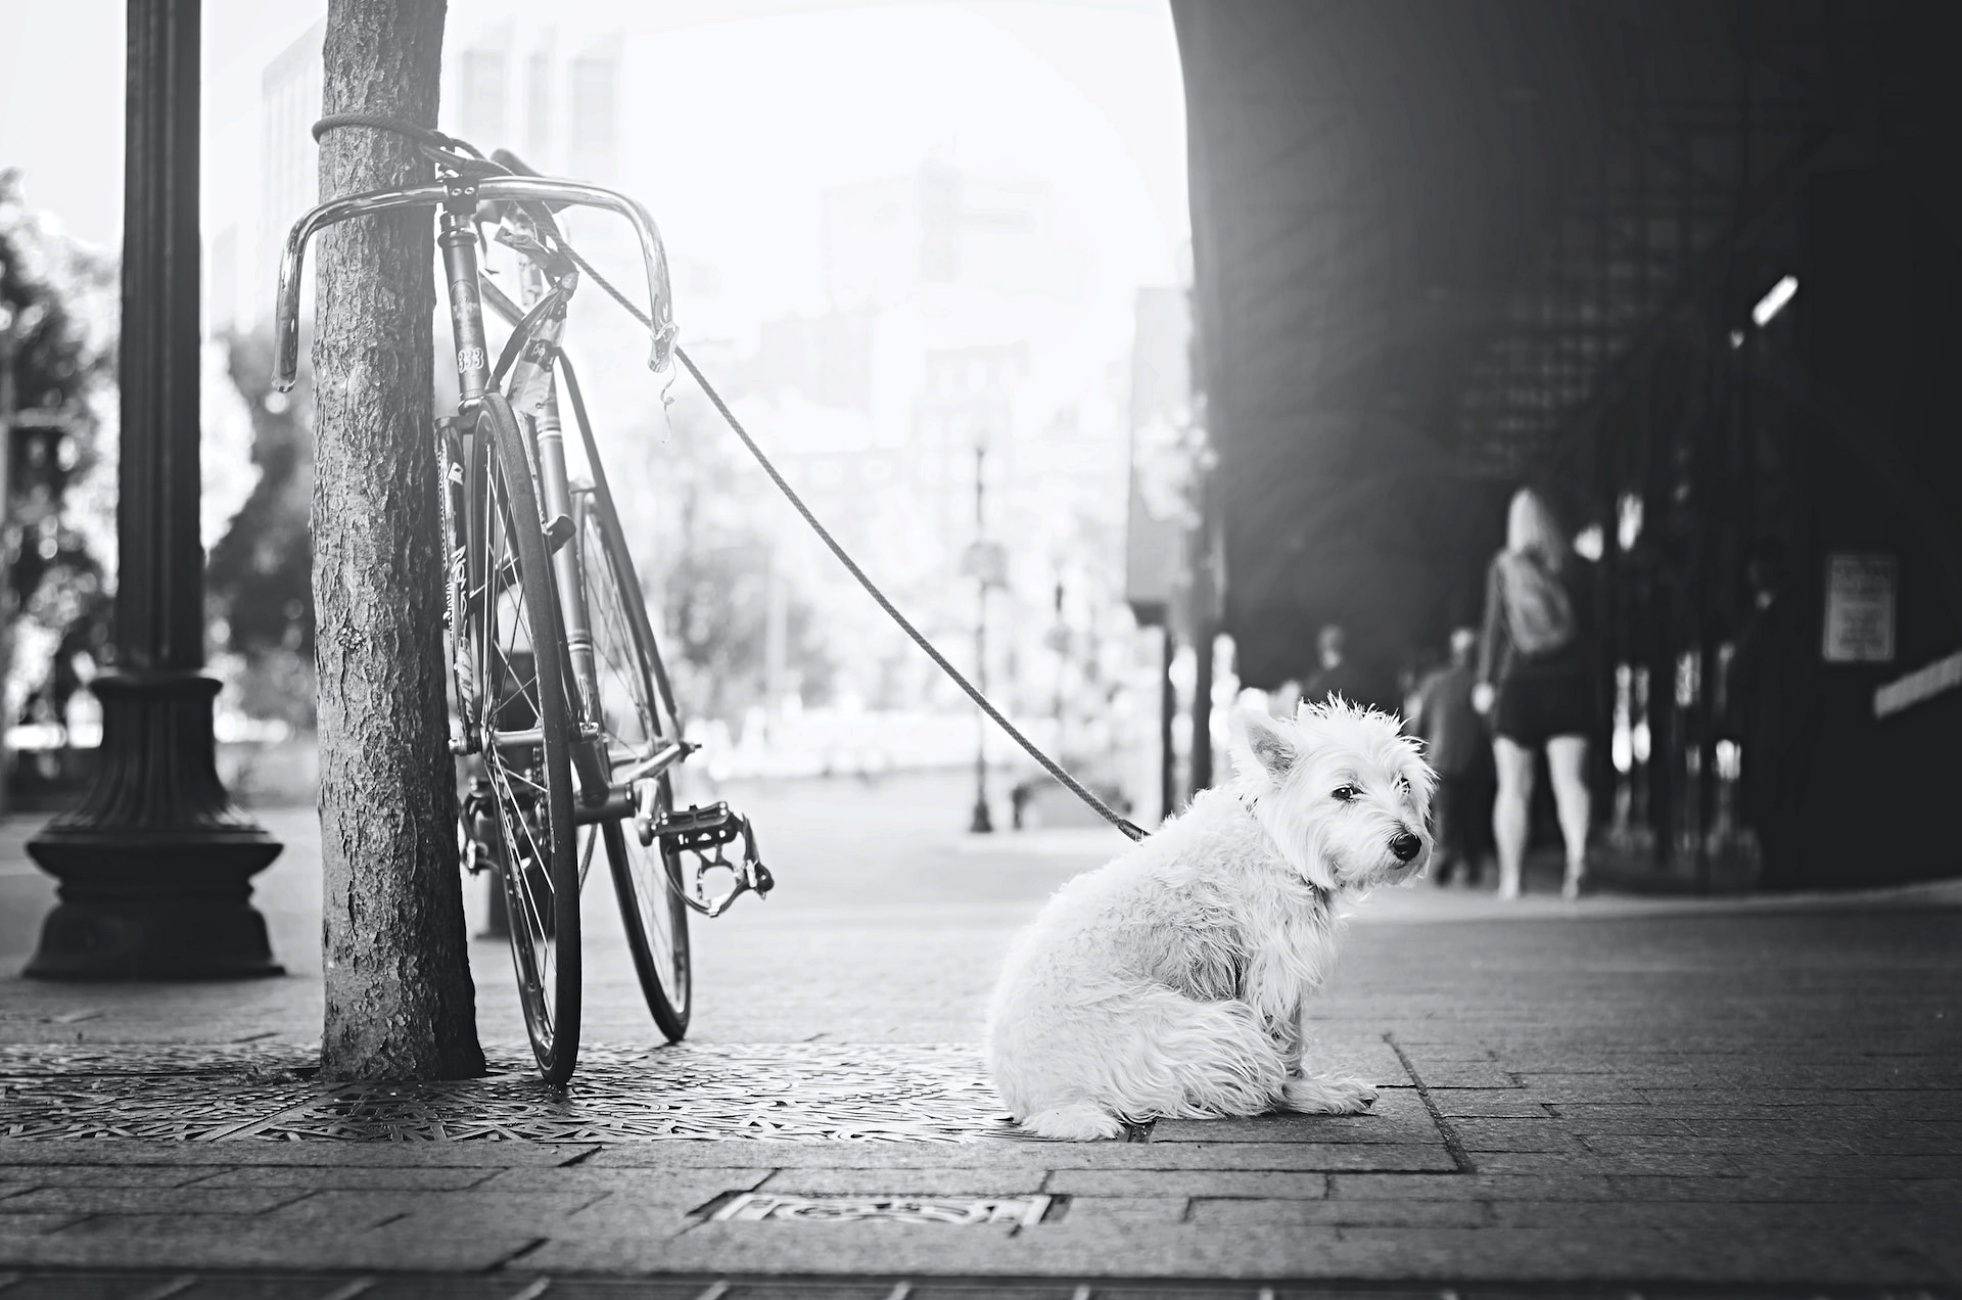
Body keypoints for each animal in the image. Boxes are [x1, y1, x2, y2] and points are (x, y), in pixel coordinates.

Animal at [988, 701, 1436, 1137]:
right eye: (1345, 791)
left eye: (1404, 783)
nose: (1408, 844)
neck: (1275, 842)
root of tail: (1045, 1104)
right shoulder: (1275, 975)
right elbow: (1287, 1047)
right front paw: (1309, 1087)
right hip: (1217, 1034)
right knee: (1260, 1086)